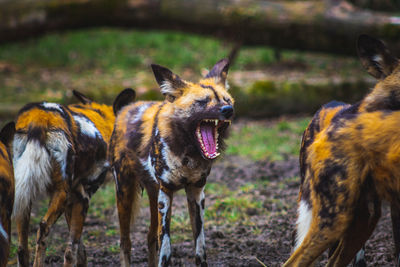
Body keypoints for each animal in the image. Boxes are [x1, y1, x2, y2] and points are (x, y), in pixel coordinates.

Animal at [12, 89, 135, 267]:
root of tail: (41, 117)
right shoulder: (82, 197)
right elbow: (72, 249)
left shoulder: (70, 200)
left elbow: (80, 248)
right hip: (61, 193)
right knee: (44, 230)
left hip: (26, 195)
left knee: (22, 248)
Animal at [109, 58, 234, 266]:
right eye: (202, 102)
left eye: (227, 100)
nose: (228, 110)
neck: (188, 154)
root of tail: (124, 109)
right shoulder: (166, 193)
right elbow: (166, 247)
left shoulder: (196, 193)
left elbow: (200, 247)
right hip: (125, 194)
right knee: (125, 242)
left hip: (153, 194)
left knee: (150, 236)